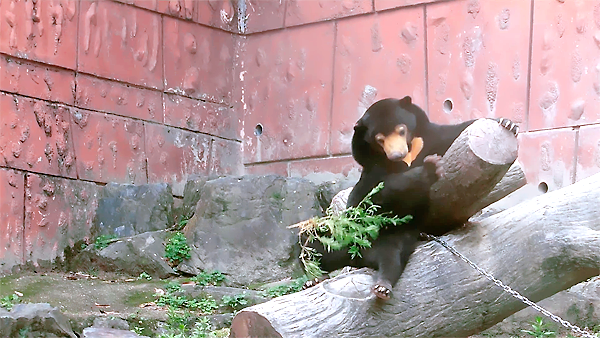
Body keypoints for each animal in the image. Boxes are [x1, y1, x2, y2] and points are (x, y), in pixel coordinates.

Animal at [308, 96, 516, 300]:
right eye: (379, 139)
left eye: (401, 130)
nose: (396, 155)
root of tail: (361, 256)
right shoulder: (373, 168)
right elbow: (371, 194)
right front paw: (429, 170)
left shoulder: (434, 138)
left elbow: (456, 131)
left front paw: (508, 123)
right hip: (345, 234)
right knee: (317, 242)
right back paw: (315, 278)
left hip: (397, 235)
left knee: (392, 257)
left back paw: (382, 285)